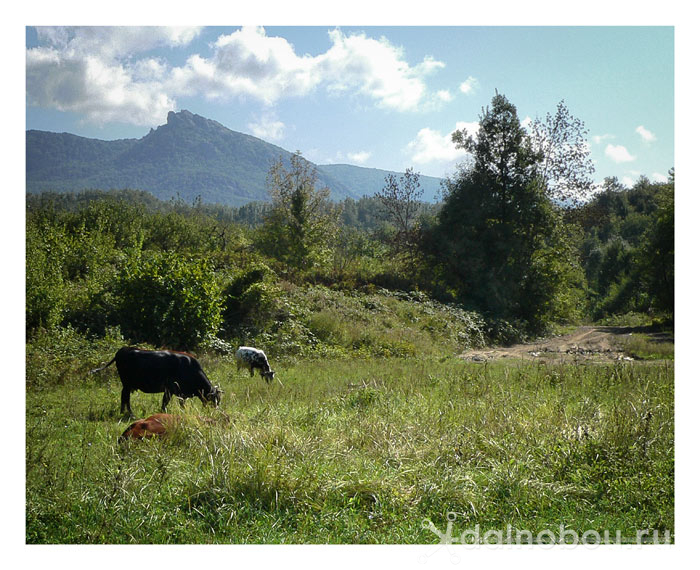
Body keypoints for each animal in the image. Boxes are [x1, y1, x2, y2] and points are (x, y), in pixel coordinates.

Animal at [89, 344, 221, 414]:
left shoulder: (177, 392)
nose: (215, 412)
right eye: (213, 400)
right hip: (127, 383)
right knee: (126, 397)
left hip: (127, 384)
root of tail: (124, 349)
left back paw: (123, 412)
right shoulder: (172, 389)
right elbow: (168, 402)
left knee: (123, 397)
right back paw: (130, 414)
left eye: (218, 401)